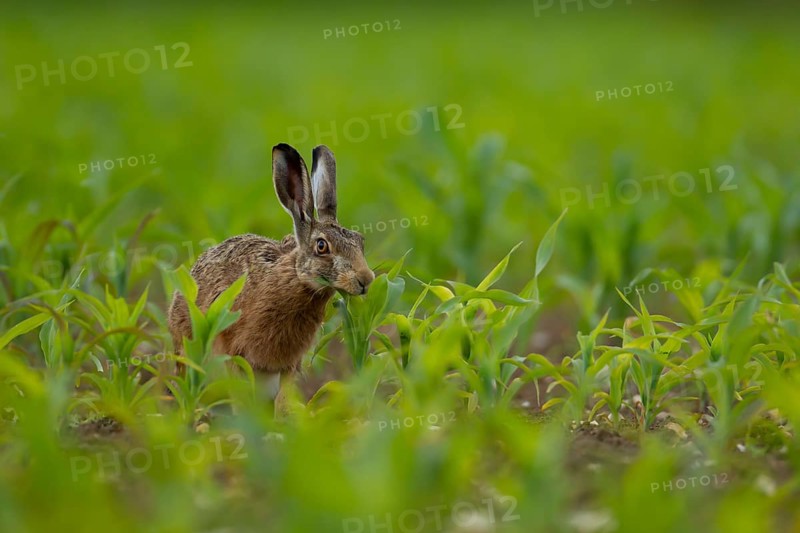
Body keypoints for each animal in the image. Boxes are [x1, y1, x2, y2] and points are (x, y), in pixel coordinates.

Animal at [167, 143, 374, 404]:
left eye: (360, 241)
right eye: (321, 246)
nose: (366, 279)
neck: (295, 278)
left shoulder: (289, 365)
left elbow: (283, 401)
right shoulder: (232, 352)